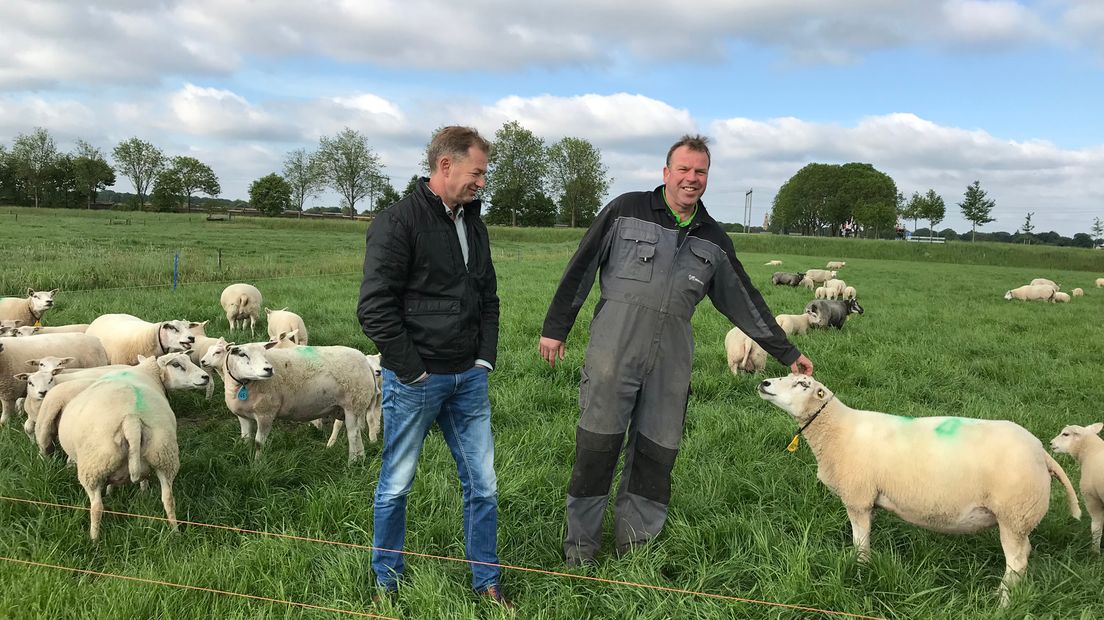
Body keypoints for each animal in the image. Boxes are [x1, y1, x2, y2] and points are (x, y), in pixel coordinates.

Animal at [56, 353, 211, 536]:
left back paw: (93, 539)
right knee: (168, 498)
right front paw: (142, 491)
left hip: (94, 466)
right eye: (176, 364)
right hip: (164, 454)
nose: (206, 377)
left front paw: (112, 492)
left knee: (96, 507)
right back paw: (175, 533)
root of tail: (131, 419)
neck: (146, 371)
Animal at [202, 335, 379, 461]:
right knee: (357, 434)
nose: (268, 369)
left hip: (354, 404)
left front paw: (257, 465)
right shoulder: (243, 417)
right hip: (349, 406)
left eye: (265, 354)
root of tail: (365, 362)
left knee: (353, 434)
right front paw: (245, 455)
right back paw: (360, 459)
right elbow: (245, 439)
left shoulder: (266, 413)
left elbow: (259, 443)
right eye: (242, 354)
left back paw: (352, 462)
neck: (243, 385)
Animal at [759, 370, 1077, 604]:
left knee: (1017, 562)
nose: (764, 383)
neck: (837, 430)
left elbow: (860, 541)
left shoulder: (858, 497)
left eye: (802, 384)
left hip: (1014, 513)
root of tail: (1041, 453)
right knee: (1024, 555)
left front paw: (860, 569)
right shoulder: (870, 499)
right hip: (1019, 518)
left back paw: (1003, 603)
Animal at [1051, 421, 1104, 551]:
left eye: (1065, 434)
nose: (1051, 443)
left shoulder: (1092, 498)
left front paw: (1095, 551)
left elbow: (1096, 527)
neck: (1091, 451)